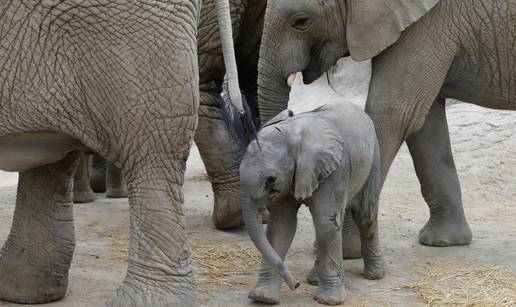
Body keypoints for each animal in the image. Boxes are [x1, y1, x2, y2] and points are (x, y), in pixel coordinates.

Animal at [240, 101, 384, 306]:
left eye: (270, 180)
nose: (296, 284)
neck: (291, 134)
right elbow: (281, 224)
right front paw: (263, 297)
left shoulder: (335, 169)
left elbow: (325, 220)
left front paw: (328, 301)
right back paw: (315, 279)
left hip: (374, 157)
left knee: (364, 215)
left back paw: (374, 275)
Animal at [254, 0, 516, 253]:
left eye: (301, 21)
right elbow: (423, 122)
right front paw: (443, 242)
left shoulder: (429, 23)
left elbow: (393, 112)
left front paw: (347, 250)